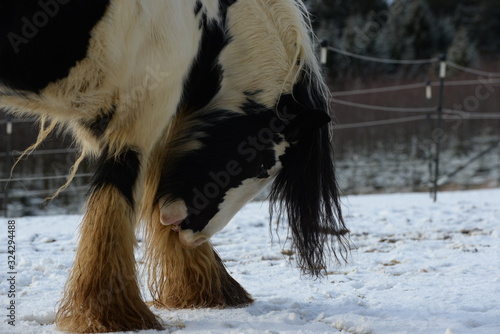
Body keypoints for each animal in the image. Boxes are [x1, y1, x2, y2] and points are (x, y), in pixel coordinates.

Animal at [0, 1, 348, 332]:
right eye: (264, 166)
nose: (195, 237)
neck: (207, 20)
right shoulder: (139, 114)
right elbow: (114, 201)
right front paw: (108, 314)